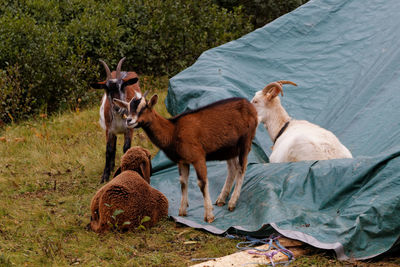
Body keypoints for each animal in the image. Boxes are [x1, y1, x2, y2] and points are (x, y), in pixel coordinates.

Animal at [112, 93, 258, 223]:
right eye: (127, 108)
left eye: (144, 107)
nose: (129, 120)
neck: (173, 131)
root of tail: (250, 106)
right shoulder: (182, 161)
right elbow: (183, 182)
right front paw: (182, 211)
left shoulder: (198, 157)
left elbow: (202, 183)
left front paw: (209, 216)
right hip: (229, 149)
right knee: (233, 168)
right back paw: (222, 199)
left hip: (245, 141)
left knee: (242, 168)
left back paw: (232, 202)